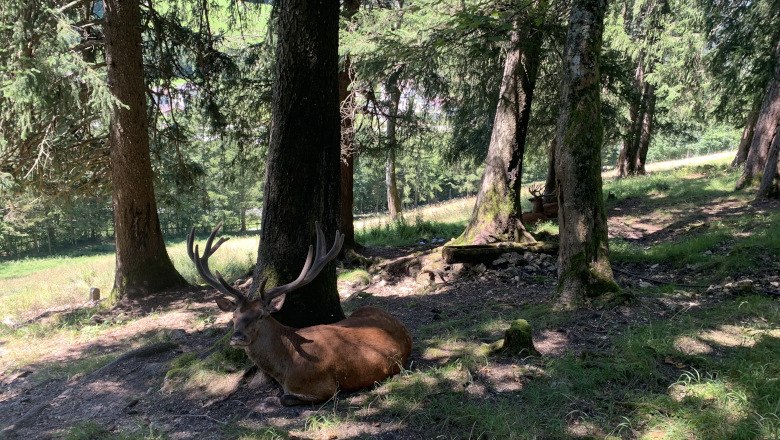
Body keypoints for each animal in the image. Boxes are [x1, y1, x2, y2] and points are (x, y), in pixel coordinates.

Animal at [186, 223, 412, 406]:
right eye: (233, 316)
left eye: (261, 316)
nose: (237, 337)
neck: (286, 367)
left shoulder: (324, 387)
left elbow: (283, 399)